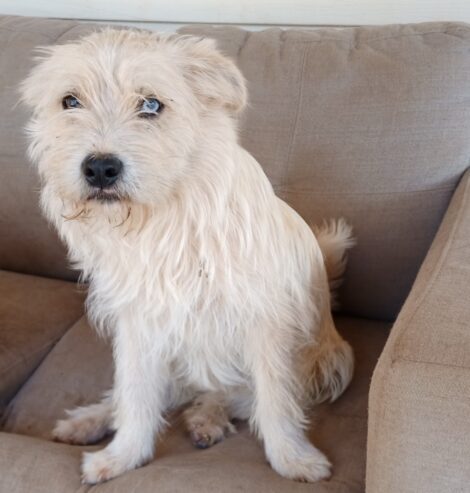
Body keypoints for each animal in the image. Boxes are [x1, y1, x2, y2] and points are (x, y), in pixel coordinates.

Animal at [20, 28, 354, 482]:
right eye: (70, 101)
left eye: (151, 104)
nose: (100, 168)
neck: (167, 219)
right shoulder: (139, 325)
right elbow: (136, 396)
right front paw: (122, 456)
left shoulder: (266, 325)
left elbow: (275, 400)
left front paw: (292, 458)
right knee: (145, 394)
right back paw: (91, 420)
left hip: (329, 362)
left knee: (236, 395)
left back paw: (206, 418)